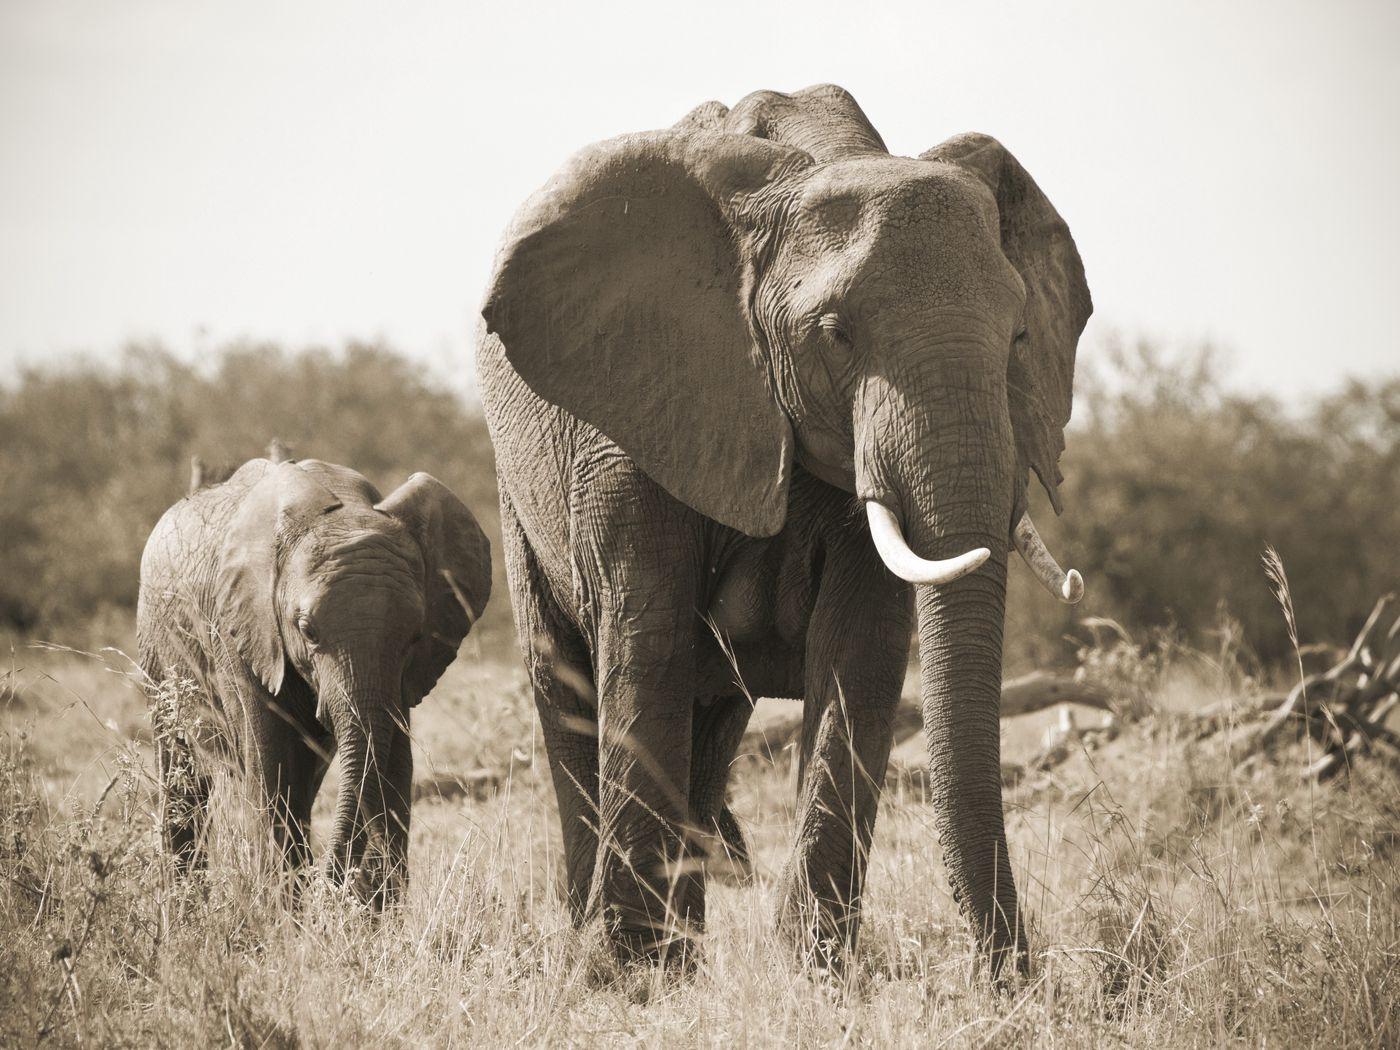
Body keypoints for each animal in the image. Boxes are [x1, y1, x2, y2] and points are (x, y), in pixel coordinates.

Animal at [136, 457, 491, 904]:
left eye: (414, 636)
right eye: (307, 631)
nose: (337, 882)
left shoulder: (402, 677)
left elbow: (393, 766)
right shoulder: (240, 631)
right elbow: (271, 771)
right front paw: (286, 913)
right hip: (157, 649)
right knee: (182, 773)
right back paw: (186, 905)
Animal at [476, 83, 1090, 975]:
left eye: (1018, 336)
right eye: (836, 333)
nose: (1010, 970)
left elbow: (860, 649)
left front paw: (816, 968)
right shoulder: (636, 408)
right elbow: (645, 638)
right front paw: (622, 975)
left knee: (713, 718)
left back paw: (684, 949)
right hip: (515, 488)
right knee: (567, 680)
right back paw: (610, 938)